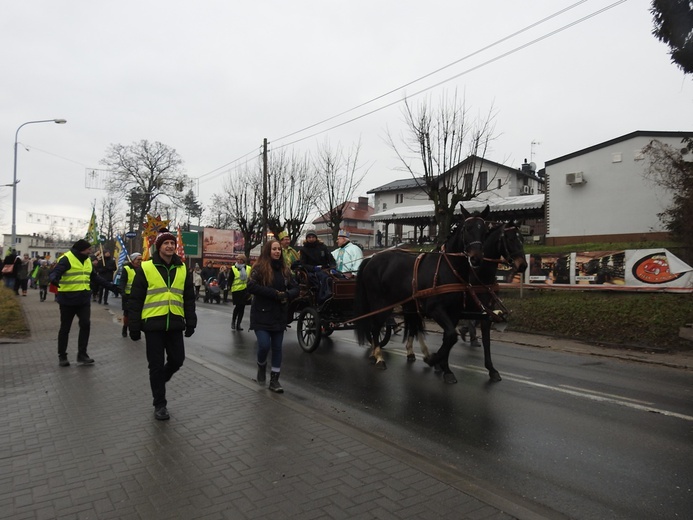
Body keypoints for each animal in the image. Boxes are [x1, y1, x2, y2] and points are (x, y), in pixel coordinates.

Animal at [354, 205, 490, 376]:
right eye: (467, 228)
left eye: (485, 229)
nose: (476, 258)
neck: (447, 269)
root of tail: (371, 258)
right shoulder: (435, 309)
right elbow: (451, 336)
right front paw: (433, 360)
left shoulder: (454, 312)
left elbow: (449, 337)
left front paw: (445, 368)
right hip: (381, 302)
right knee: (375, 326)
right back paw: (378, 357)